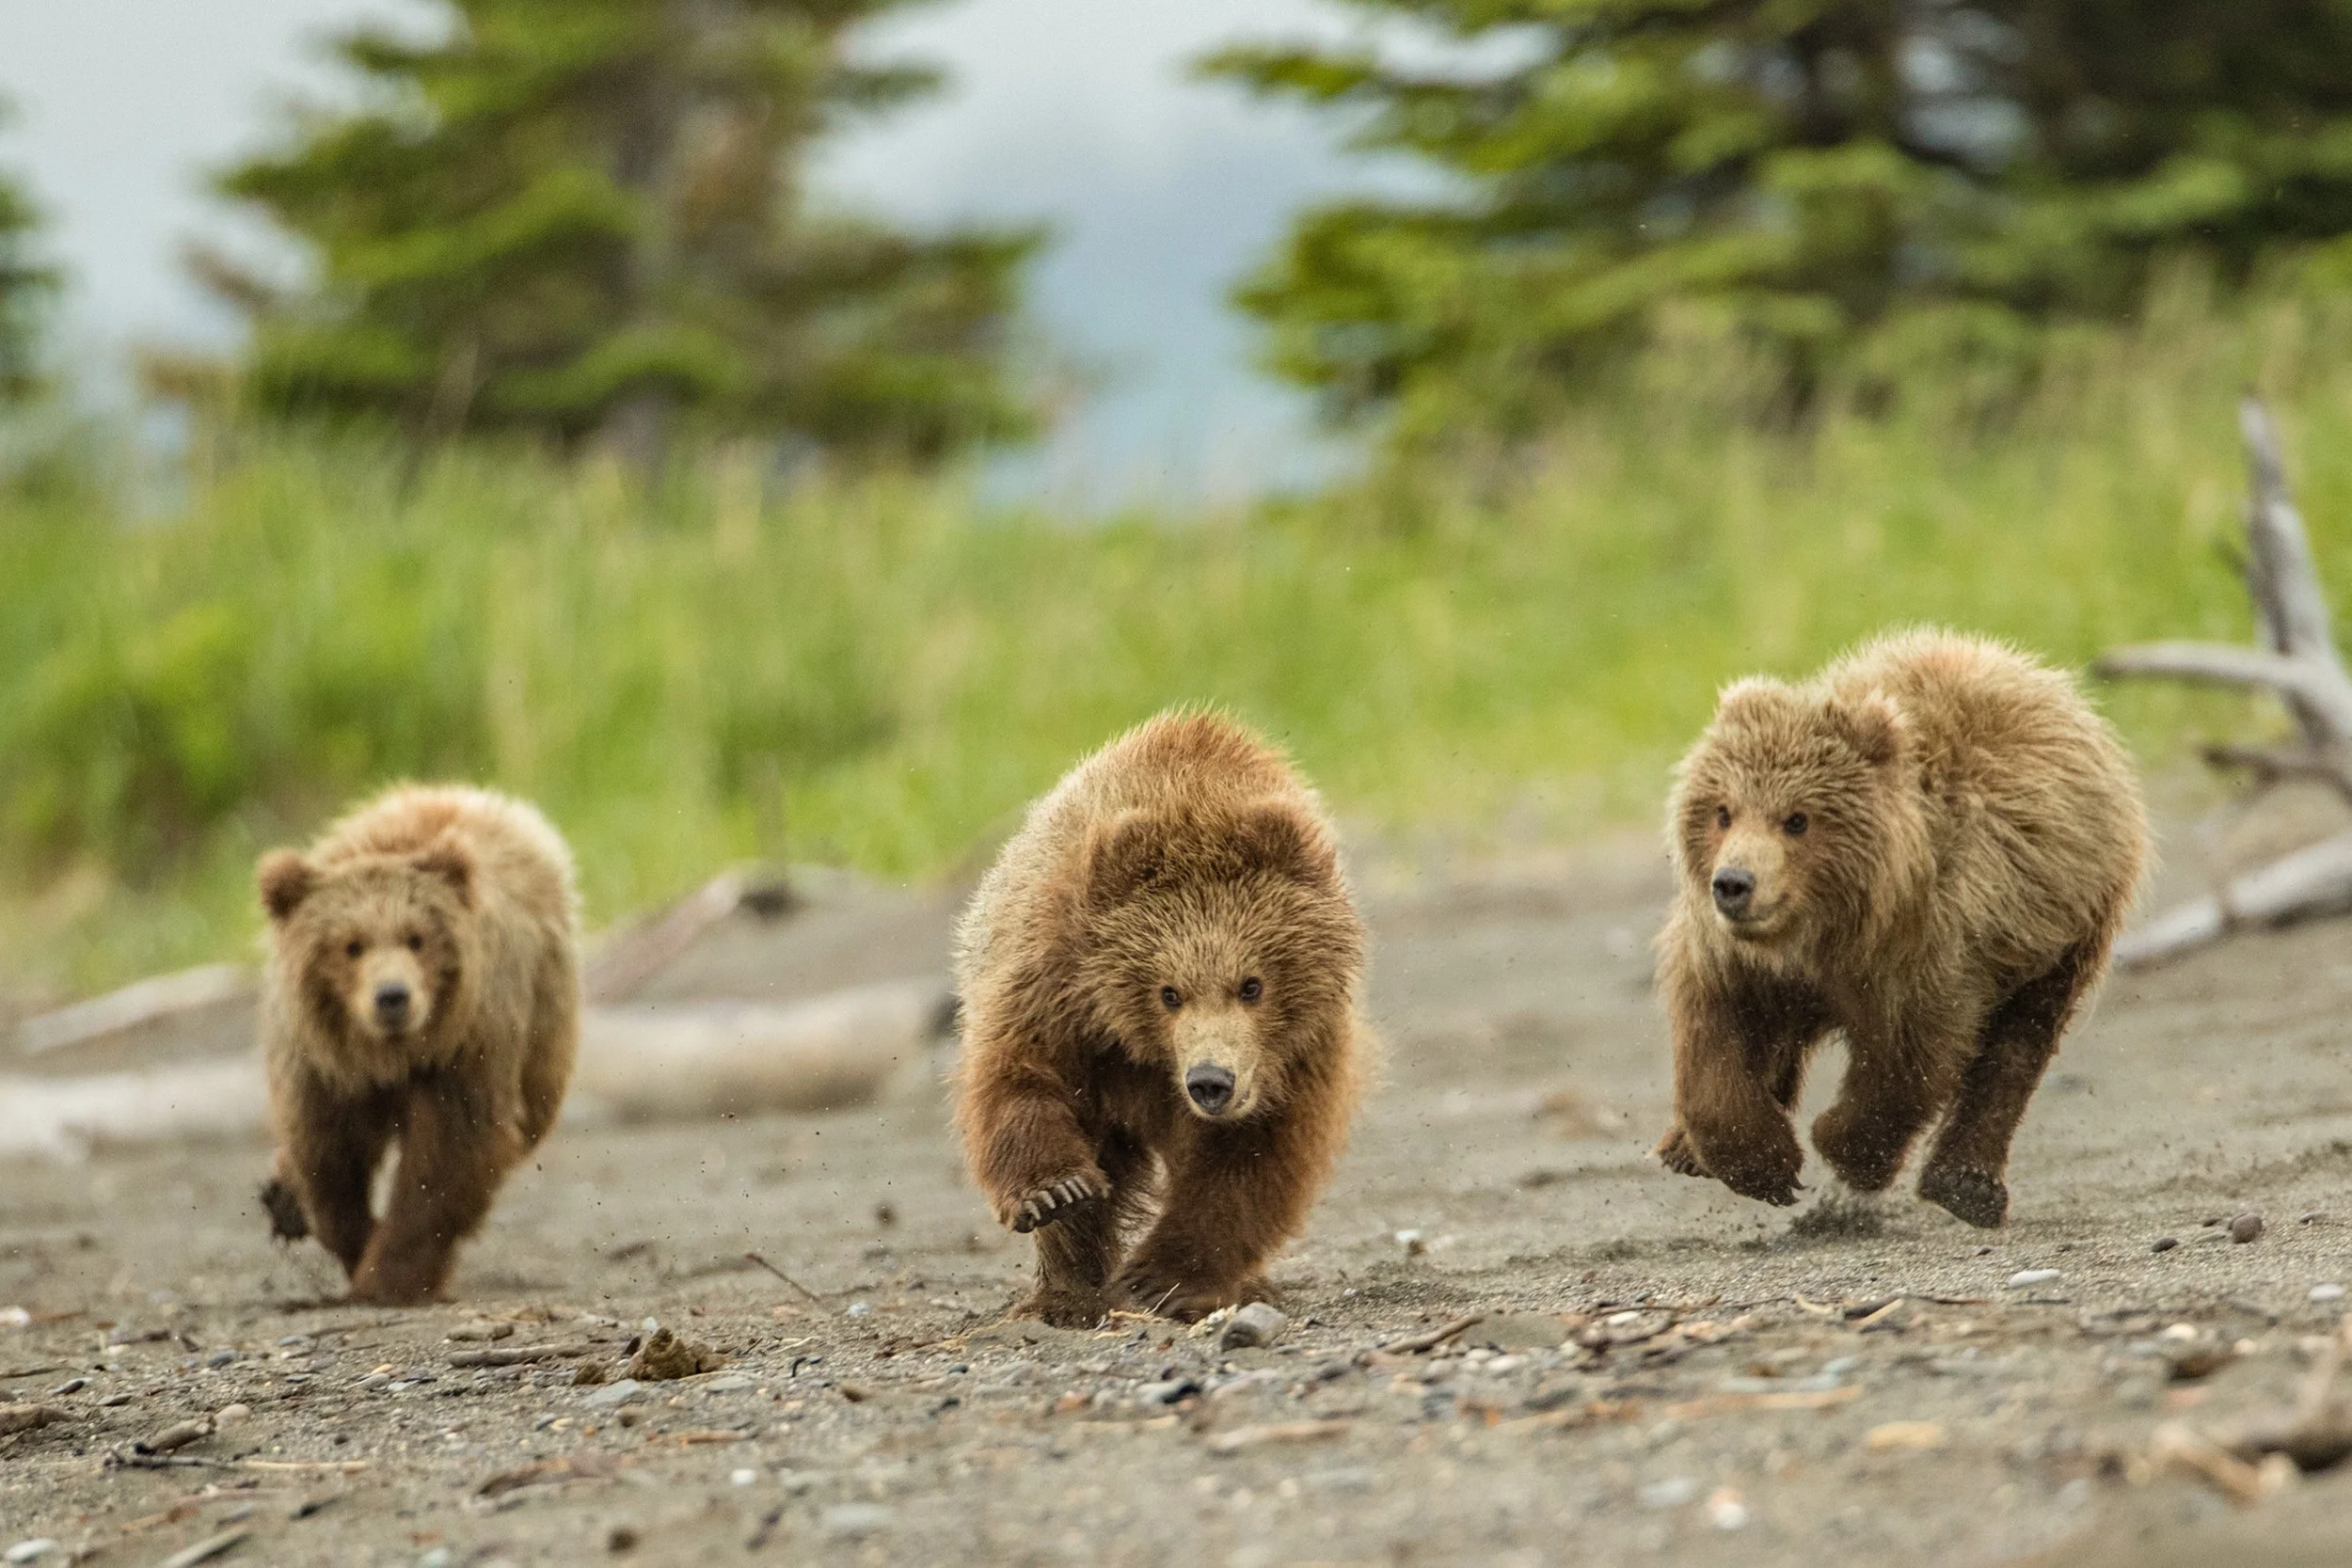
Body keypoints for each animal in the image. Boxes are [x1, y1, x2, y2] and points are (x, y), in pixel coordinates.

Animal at [254, 784, 581, 1304]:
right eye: (351, 945)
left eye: (417, 938)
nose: (392, 997)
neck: (390, 1055)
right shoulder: (320, 1065)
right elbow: (328, 1153)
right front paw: (351, 1239)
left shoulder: (467, 1048)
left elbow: (446, 1159)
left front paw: (389, 1275)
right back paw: (282, 1198)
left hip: (542, 1016)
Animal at [952, 710, 1372, 1327]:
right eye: (1168, 992)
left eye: (1252, 984)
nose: (1211, 1081)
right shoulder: (1057, 988)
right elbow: (1019, 1077)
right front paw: (1053, 1192)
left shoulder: (1294, 1056)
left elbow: (1249, 1166)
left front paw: (1160, 1278)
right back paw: (1065, 1295)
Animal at [1651, 629, 2148, 1229]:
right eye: (1723, 811)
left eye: (1797, 819)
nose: (1733, 883)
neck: (1825, 929)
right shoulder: (1731, 953)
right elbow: (1712, 1027)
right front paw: (1759, 1164)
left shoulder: (1938, 944)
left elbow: (1911, 1060)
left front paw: (1846, 1147)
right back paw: (1684, 1146)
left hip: (2064, 932)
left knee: (2020, 1042)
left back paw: (1967, 1185)